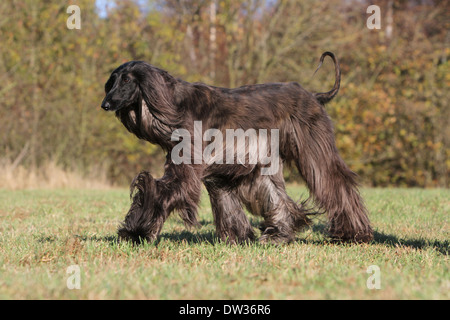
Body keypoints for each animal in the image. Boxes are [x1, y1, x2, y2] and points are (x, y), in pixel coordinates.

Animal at [101, 51, 372, 244]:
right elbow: (225, 201)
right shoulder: (222, 167)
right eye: (111, 82)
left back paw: (353, 233)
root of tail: (314, 96)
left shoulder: (189, 164)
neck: (174, 104)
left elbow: (160, 190)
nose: (105, 104)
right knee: (277, 195)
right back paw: (278, 234)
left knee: (336, 182)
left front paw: (137, 232)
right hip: (266, 159)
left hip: (312, 146)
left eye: (127, 80)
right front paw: (238, 237)